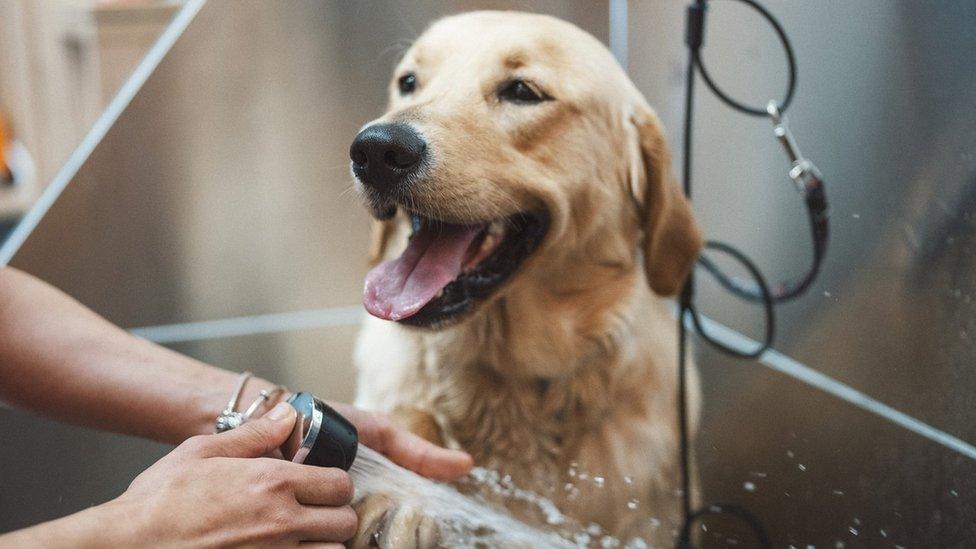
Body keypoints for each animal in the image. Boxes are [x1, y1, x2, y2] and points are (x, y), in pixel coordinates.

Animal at [350, 10, 700, 544]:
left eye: (522, 91)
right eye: (408, 82)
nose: (374, 151)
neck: (507, 382)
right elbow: (407, 418)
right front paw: (401, 490)